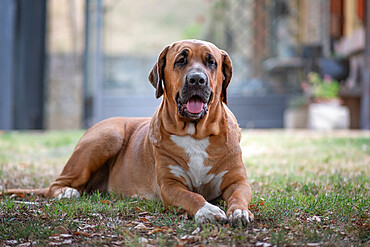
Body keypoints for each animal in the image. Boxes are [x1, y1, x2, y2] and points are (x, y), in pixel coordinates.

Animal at [7, 39, 254, 225]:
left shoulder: (237, 180)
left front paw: (239, 211)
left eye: (211, 62)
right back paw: (67, 192)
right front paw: (207, 210)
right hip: (108, 136)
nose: (196, 79)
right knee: (55, 185)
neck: (196, 134)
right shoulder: (170, 186)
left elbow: (239, 195)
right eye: (181, 60)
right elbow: (191, 195)